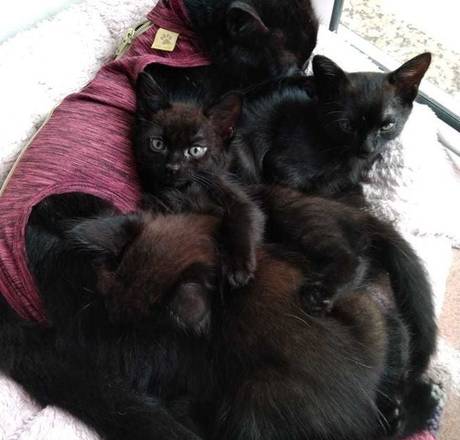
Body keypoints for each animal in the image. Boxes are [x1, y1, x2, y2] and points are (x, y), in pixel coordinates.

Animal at [134, 71, 265, 287]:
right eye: (158, 144)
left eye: (195, 150)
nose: (172, 167)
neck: (187, 187)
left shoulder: (234, 193)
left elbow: (243, 217)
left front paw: (238, 268)